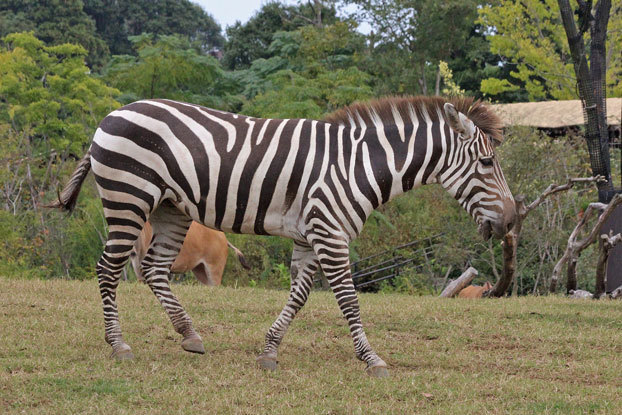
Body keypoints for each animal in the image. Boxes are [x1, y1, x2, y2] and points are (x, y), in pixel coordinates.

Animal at [47, 96, 516, 378]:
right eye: (487, 163)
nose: (512, 221)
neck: (358, 165)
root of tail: (113, 114)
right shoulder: (330, 232)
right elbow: (348, 299)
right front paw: (372, 359)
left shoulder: (310, 235)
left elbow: (300, 295)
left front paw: (270, 351)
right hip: (128, 199)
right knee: (108, 270)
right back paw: (118, 345)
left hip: (169, 208)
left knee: (154, 269)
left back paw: (189, 335)